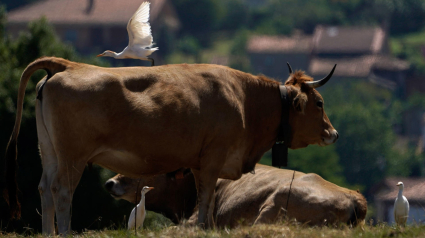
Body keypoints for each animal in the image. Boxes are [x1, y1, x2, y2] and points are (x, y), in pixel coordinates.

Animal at [4, 57, 338, 234]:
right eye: (320, 103)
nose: (333, 133)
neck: (244, 98)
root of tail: (68, 65)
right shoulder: (213, 157)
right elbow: (205, 198)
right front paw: (203, 228)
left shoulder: (198, 162)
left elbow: (205, 200)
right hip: (72, 155)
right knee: (62, 191)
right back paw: (65, 233)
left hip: (49, 152)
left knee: (45, 189)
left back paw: (49, 233)